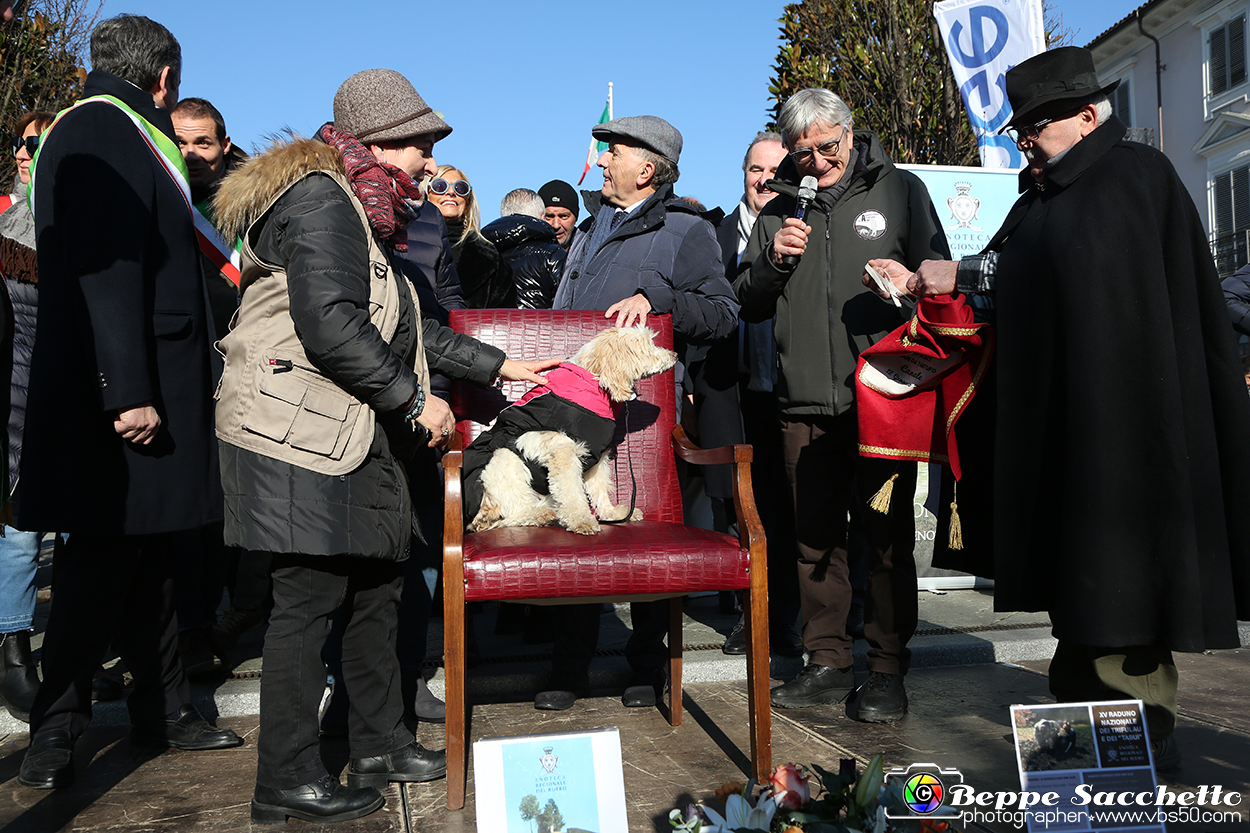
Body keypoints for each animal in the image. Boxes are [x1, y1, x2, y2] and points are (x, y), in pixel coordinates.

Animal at [460, 325, 675, 532]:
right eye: (648, 345)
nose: (675, 355)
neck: (591, 384)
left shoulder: (596, 456)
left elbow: (600, 488)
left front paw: (611, 513)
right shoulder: (563, 452)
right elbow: (571, 491)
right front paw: (581, 520)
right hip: (504, 461)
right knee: (514, 512)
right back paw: (542, 515)